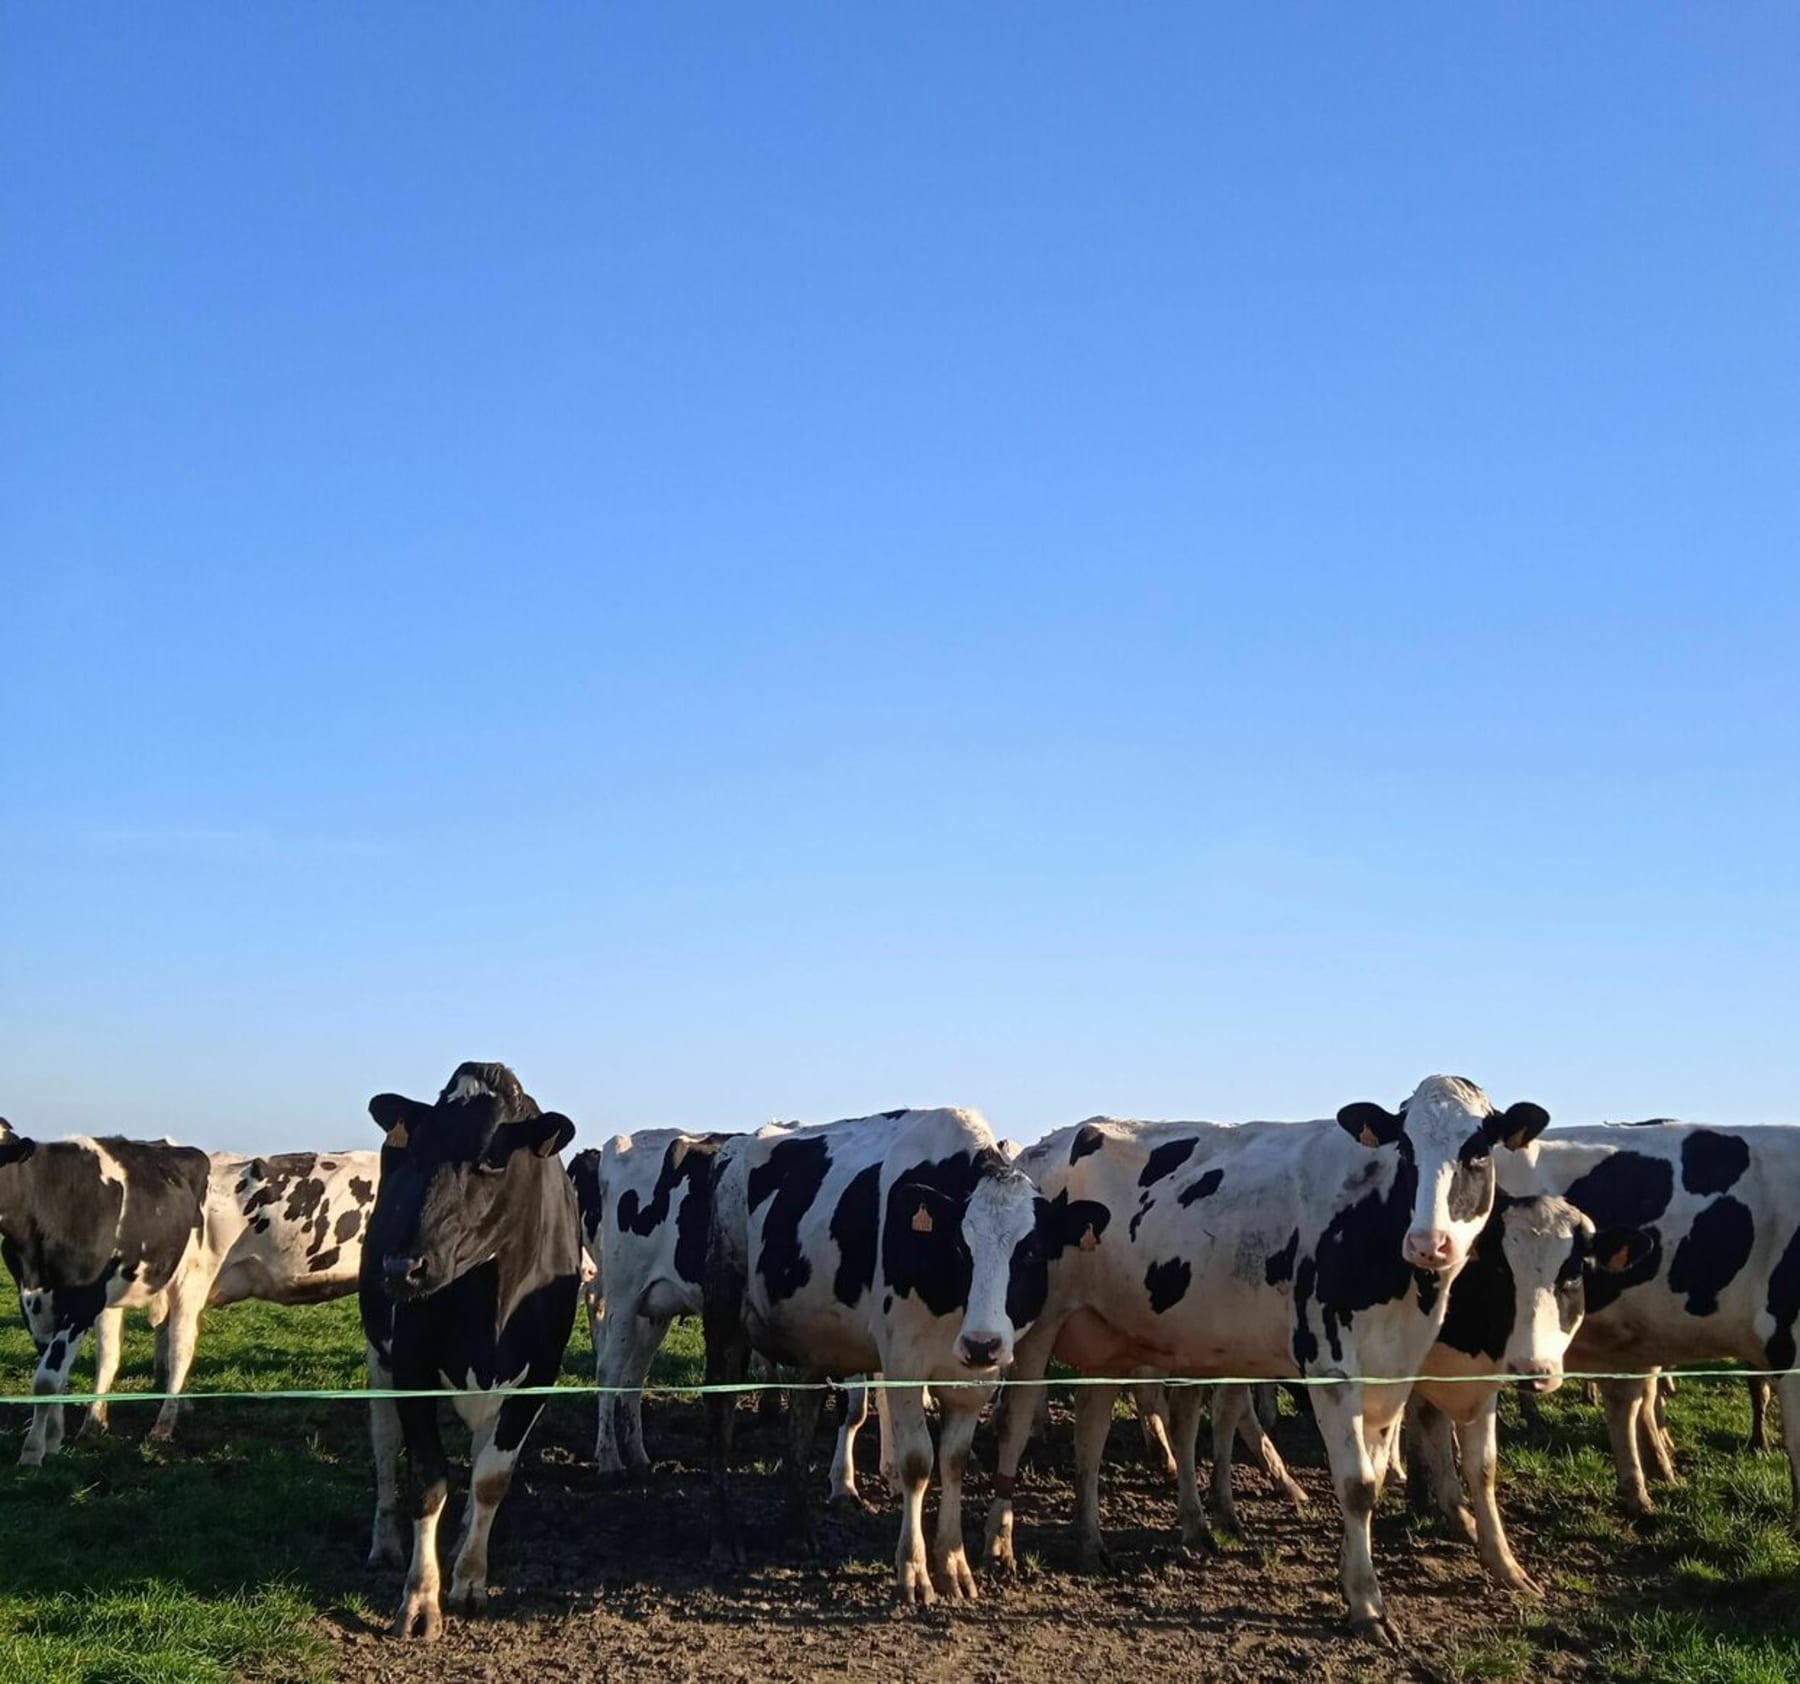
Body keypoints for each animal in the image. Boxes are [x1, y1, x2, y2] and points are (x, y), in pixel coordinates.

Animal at [354, 1057, 572, 1640]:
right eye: (420, 1152)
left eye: (492, 1158)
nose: (401, 1268)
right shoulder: (411, 1367)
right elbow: (427, 1478)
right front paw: (420, 1598)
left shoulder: (539, 1374)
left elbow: (492, 1478)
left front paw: (471, 1579)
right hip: (379, 1359)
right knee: (383, 1446)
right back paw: (384, 1542)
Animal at [698, 1108, 1094, 1597]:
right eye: (961, 1247)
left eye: (1032, 1252)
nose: (982, 1343)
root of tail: (735, 1147)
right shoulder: (904, 1362)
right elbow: (917, 1462)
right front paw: (914, 1571)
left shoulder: (973, 1380)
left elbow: (954, 1461)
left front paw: (954, 1564)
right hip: (723, 1317)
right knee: (719, 1423)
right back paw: (723, 1536)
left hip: (813, 1343)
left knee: (799, 1426)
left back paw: (797, 1531)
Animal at [986, 1079, 1548, 1648]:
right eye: (1406, 1151)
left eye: (1477, 1152)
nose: (1428, 1243)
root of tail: (1044, 1147)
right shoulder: (1331, 1367)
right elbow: (1358, 1485)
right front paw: (1367, 1605)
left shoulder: (1391, 1373)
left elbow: (1431, 1470)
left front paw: (1505, 1568)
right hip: (1034, 1329)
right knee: (1015, 1421)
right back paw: (999, 1543)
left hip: (1111, 1337)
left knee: (1092, 1429)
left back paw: (1090, 1541)